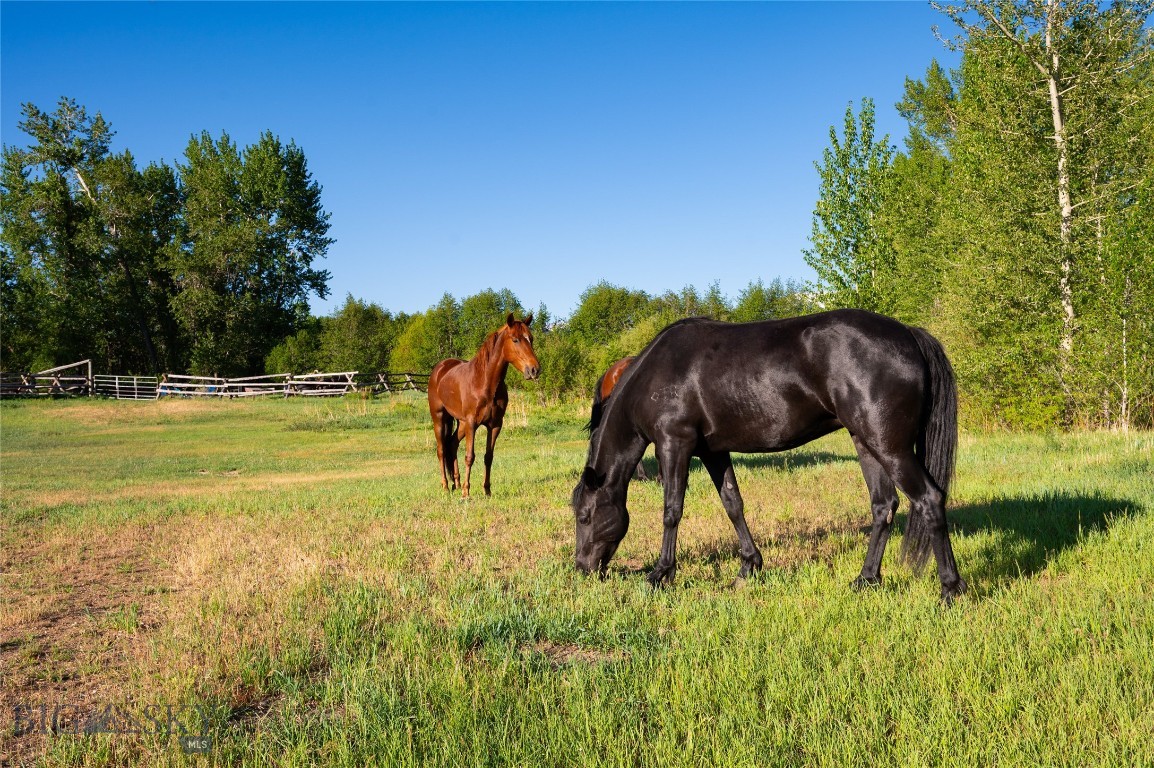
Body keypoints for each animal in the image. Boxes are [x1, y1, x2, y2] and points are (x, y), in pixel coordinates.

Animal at [428, 313, 540, 498]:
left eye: (530, 338)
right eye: (515, 340)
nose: (534, 370)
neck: (484, 382)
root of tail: (440, 369)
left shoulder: (494, 425)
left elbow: (488, 457)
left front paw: (487, 490)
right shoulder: (472, 423)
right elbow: (469, 456)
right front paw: (466, 492)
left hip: (461, 423)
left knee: (452, 444)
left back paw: (456, 483)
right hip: (439, 418)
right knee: (441, 450)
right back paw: (446, 486)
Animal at [571, 309, 967, 603]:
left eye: (585, 516)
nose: (582, 569)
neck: (655, 374)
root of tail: (909, 335)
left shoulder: (674, 445)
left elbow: (672, 511)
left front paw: (661, 573)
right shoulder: (713, 451)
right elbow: (733, 504)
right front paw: (749, 566)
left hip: (890, 448)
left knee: (929, 500)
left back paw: (950, 588)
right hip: (866, 443)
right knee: (884, 506)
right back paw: (866, 579)